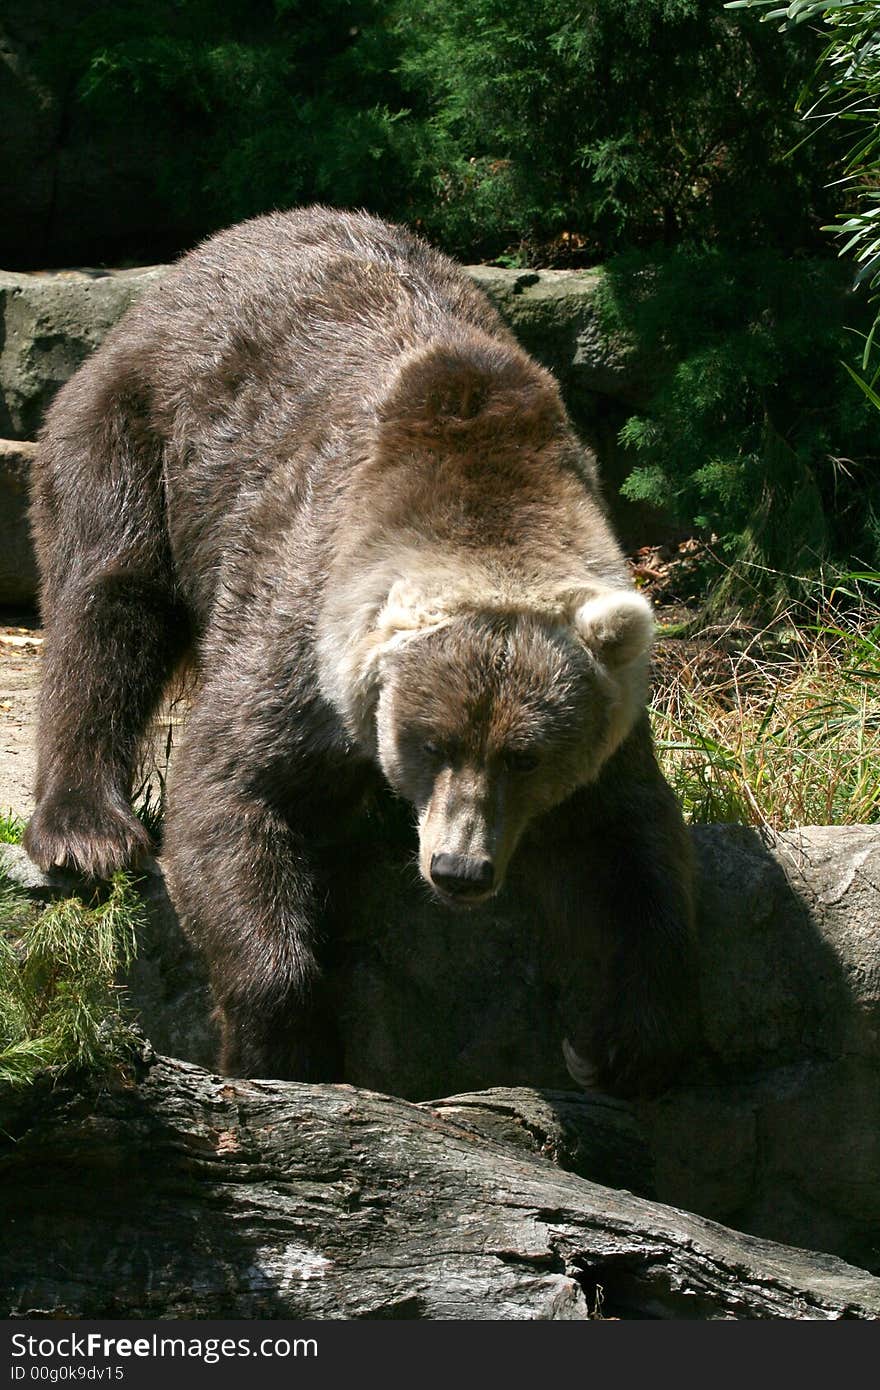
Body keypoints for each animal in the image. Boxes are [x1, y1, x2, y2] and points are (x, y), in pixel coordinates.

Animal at [23, 205, 692, 1095]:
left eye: (526, 755)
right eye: (430, 742)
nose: (459, 870)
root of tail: (199, 259)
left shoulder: (608, 715)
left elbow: (628, 848)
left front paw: (621, 1043)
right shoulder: (299, 633)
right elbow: (231, 790)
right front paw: (282, 1050)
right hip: (139, 434)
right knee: (107, 602)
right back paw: (86, 828)